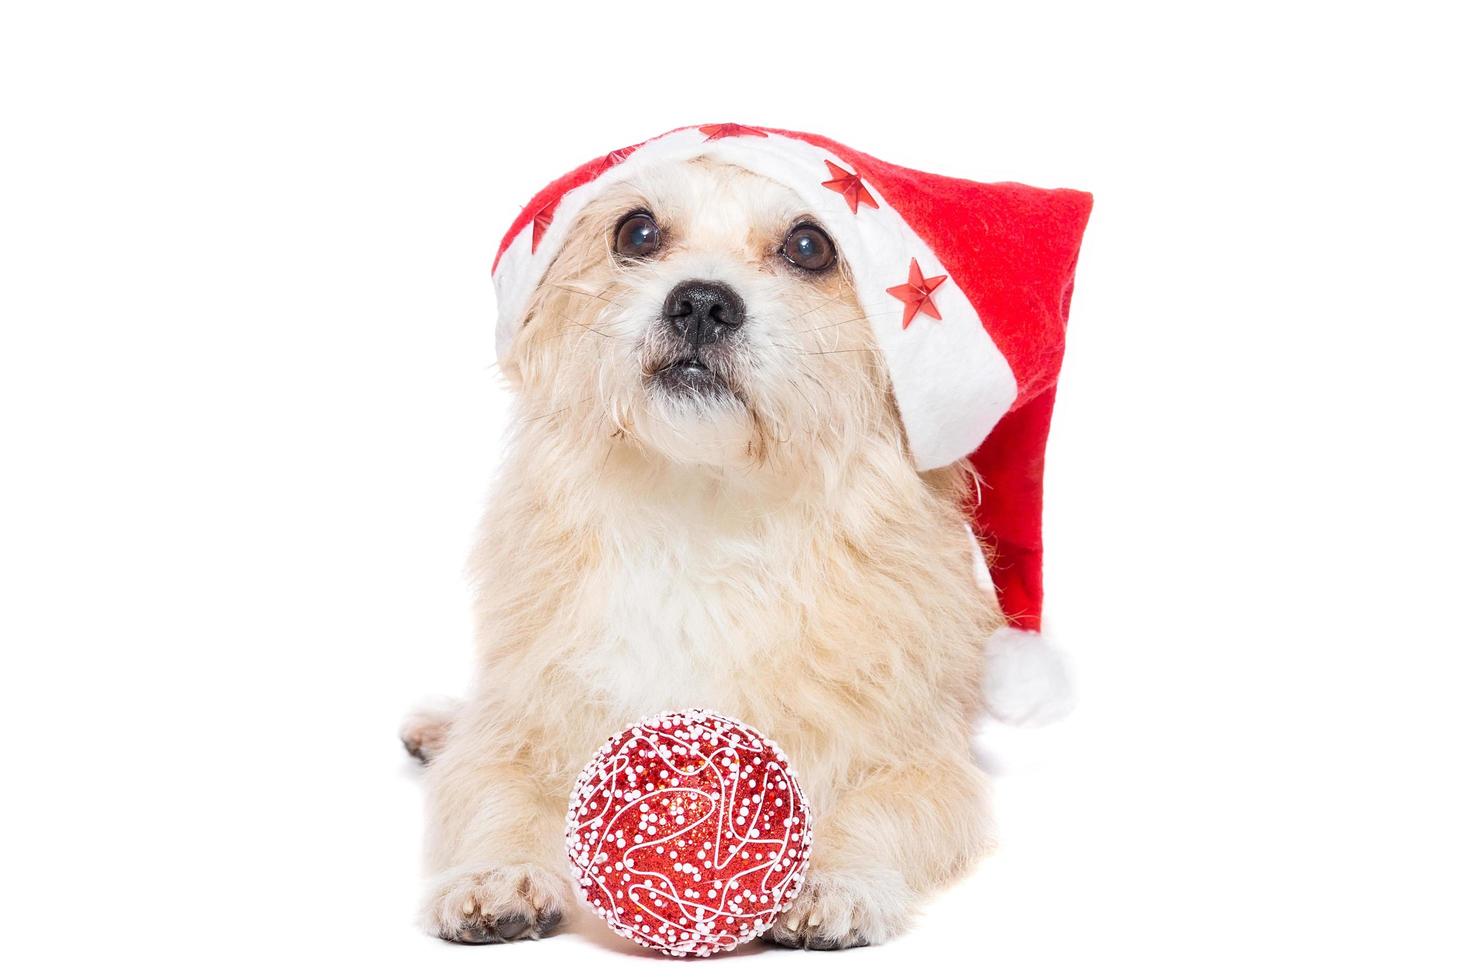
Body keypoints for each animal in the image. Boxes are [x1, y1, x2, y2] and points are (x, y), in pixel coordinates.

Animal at [396, 155, 1005, 952]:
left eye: (810, 246)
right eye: (637, 231)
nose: (702, 304)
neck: (705, 504)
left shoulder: (928, 768)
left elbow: (881, 808)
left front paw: (832, 879)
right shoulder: (514, 729)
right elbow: (494, 789)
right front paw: (501, 872)